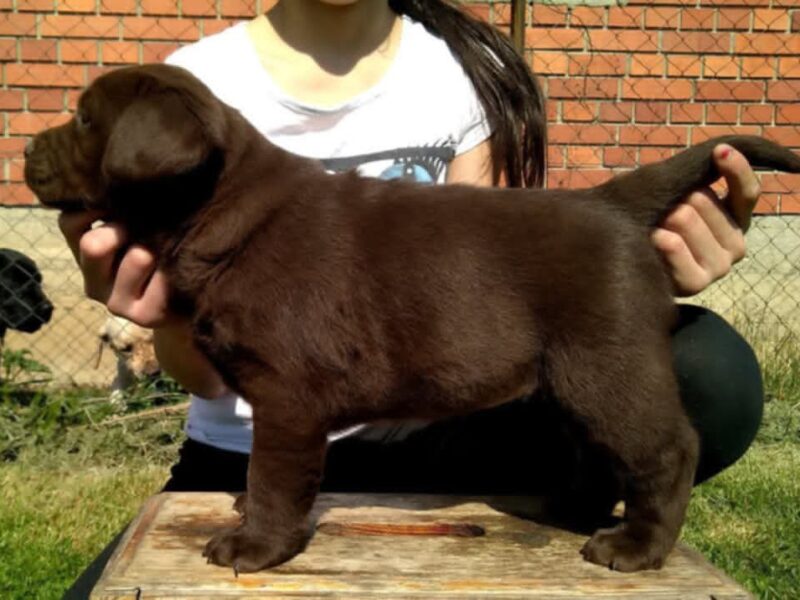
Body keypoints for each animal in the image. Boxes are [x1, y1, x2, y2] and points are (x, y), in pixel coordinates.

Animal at [23, 64, 800, 572]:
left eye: (85, 119)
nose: (26, 147)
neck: (219, 207)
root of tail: (609, 202)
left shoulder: (287, 395)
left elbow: (275, 473)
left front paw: (257, 546)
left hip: (609, 363)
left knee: (665, 448)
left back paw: (636, 547)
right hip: (575, 377)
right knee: (597, 451)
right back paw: (567, 509)